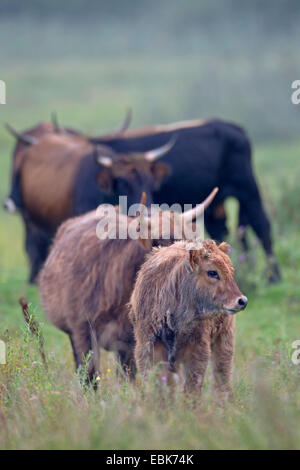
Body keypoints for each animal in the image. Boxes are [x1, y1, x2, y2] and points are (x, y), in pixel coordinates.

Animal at [129, 241, 248, 398]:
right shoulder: (149, 348)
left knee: (221, 374)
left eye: (231, 272)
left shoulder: (196, 350)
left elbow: (192, 386)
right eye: (212, 272)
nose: (242, 301)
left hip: (223, 338)